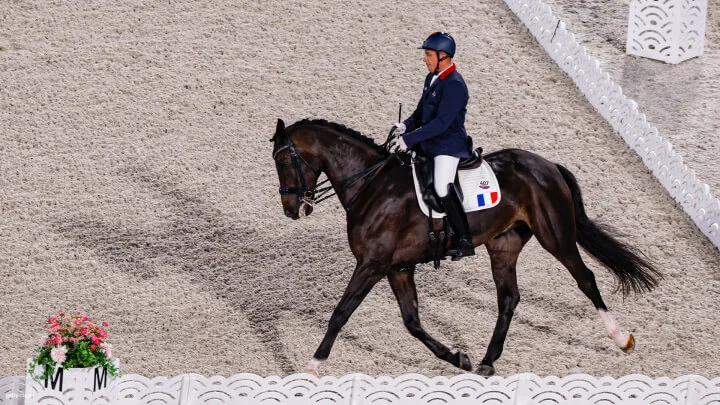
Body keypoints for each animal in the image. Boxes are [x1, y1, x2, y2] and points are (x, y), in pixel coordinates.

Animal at [272, 117, 664, 376]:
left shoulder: (372, 264)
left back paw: (622, 338)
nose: (291, 209)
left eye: (284, 160)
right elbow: (412, 321)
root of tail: (547, 165)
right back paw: (487, 362)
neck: (372, 185)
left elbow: (341, 313)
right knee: (508, 298)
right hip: (503, 245)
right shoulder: (397, 267)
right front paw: (458, 358)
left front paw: (311, 367)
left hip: (556, 236)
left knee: (585, 279)